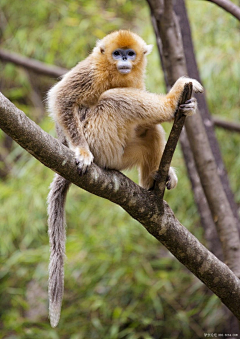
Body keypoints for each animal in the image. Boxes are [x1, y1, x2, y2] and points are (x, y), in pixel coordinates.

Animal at [46, 30, 202, 328]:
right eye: (117, 54)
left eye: (130, 54)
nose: (125, 61)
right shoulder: (92, 70)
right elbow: (61, 98)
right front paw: (80, 151)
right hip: (100, 141)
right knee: (115, 99)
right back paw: (170, 103)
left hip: (121, 153)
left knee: (149, 128)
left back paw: (153, 180)